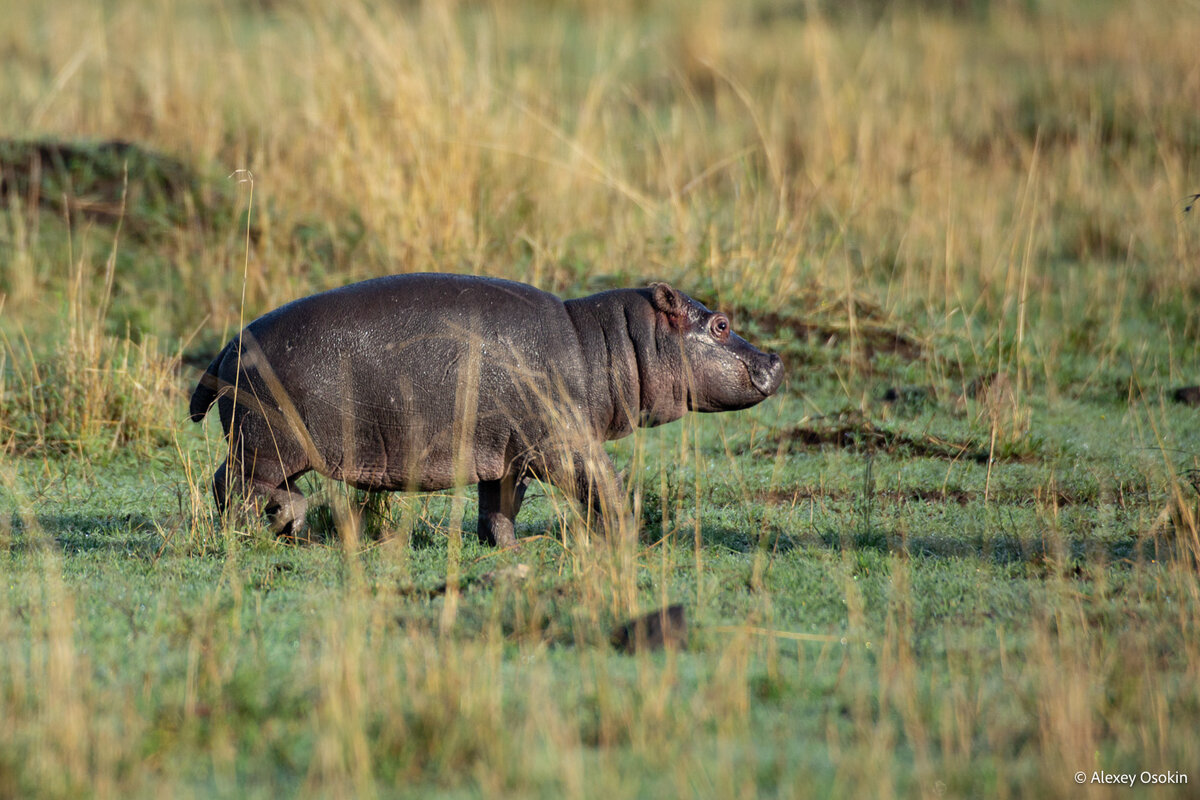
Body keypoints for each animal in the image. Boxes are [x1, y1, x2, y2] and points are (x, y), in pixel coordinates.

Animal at [184, 273, 787, 544]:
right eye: (721, 324)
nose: (776, 359)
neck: (607, 344)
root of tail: (227, 346)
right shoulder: (566, 443)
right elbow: (606, 485)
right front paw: (627, 536)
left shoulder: (509, 451)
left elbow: (499, 504)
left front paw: (505, 547)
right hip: (267, 441)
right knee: (232, 485)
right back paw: (257, 530)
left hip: (278, 446)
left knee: (248, 484)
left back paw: (293, 525)